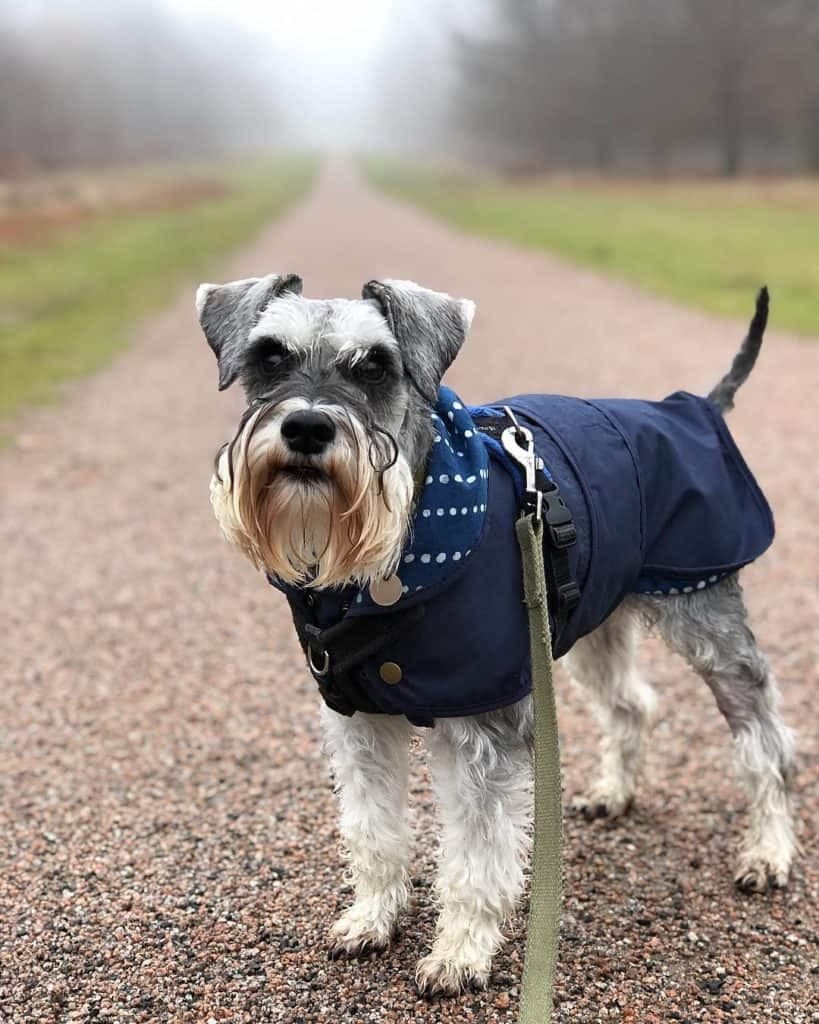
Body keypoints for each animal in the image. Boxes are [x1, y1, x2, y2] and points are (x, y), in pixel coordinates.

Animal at [196, 276, 794, 995]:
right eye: (269, 357)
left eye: (375, 366)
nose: (307, 427)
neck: (396, 552)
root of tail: (697, 406)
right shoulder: (359, 719)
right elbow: (373, 831)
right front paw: (372, 917)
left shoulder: (484, 731)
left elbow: (476, 854)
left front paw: (459, 953)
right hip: (592, 619)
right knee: (631, 704)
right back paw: (614, 793)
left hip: (706, 618)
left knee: (764, 738)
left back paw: (768, 850)